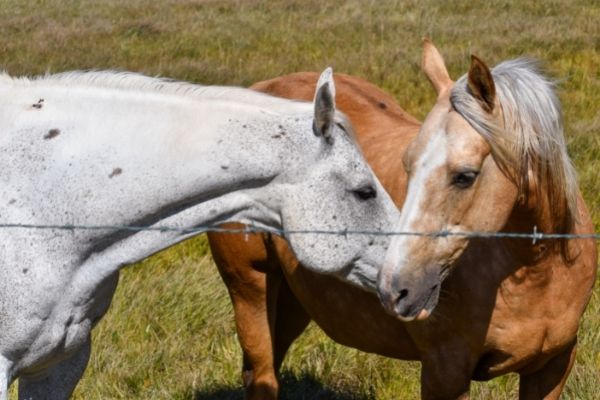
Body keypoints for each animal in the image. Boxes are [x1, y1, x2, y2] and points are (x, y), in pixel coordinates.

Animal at [209, 42, 596, 398]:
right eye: (407, 166)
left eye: (465, 176)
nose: (395, 288)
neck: (536, 269)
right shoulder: (445, 371)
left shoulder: (553, 366)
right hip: (251, 286)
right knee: (262, 375)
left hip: (293, 299)